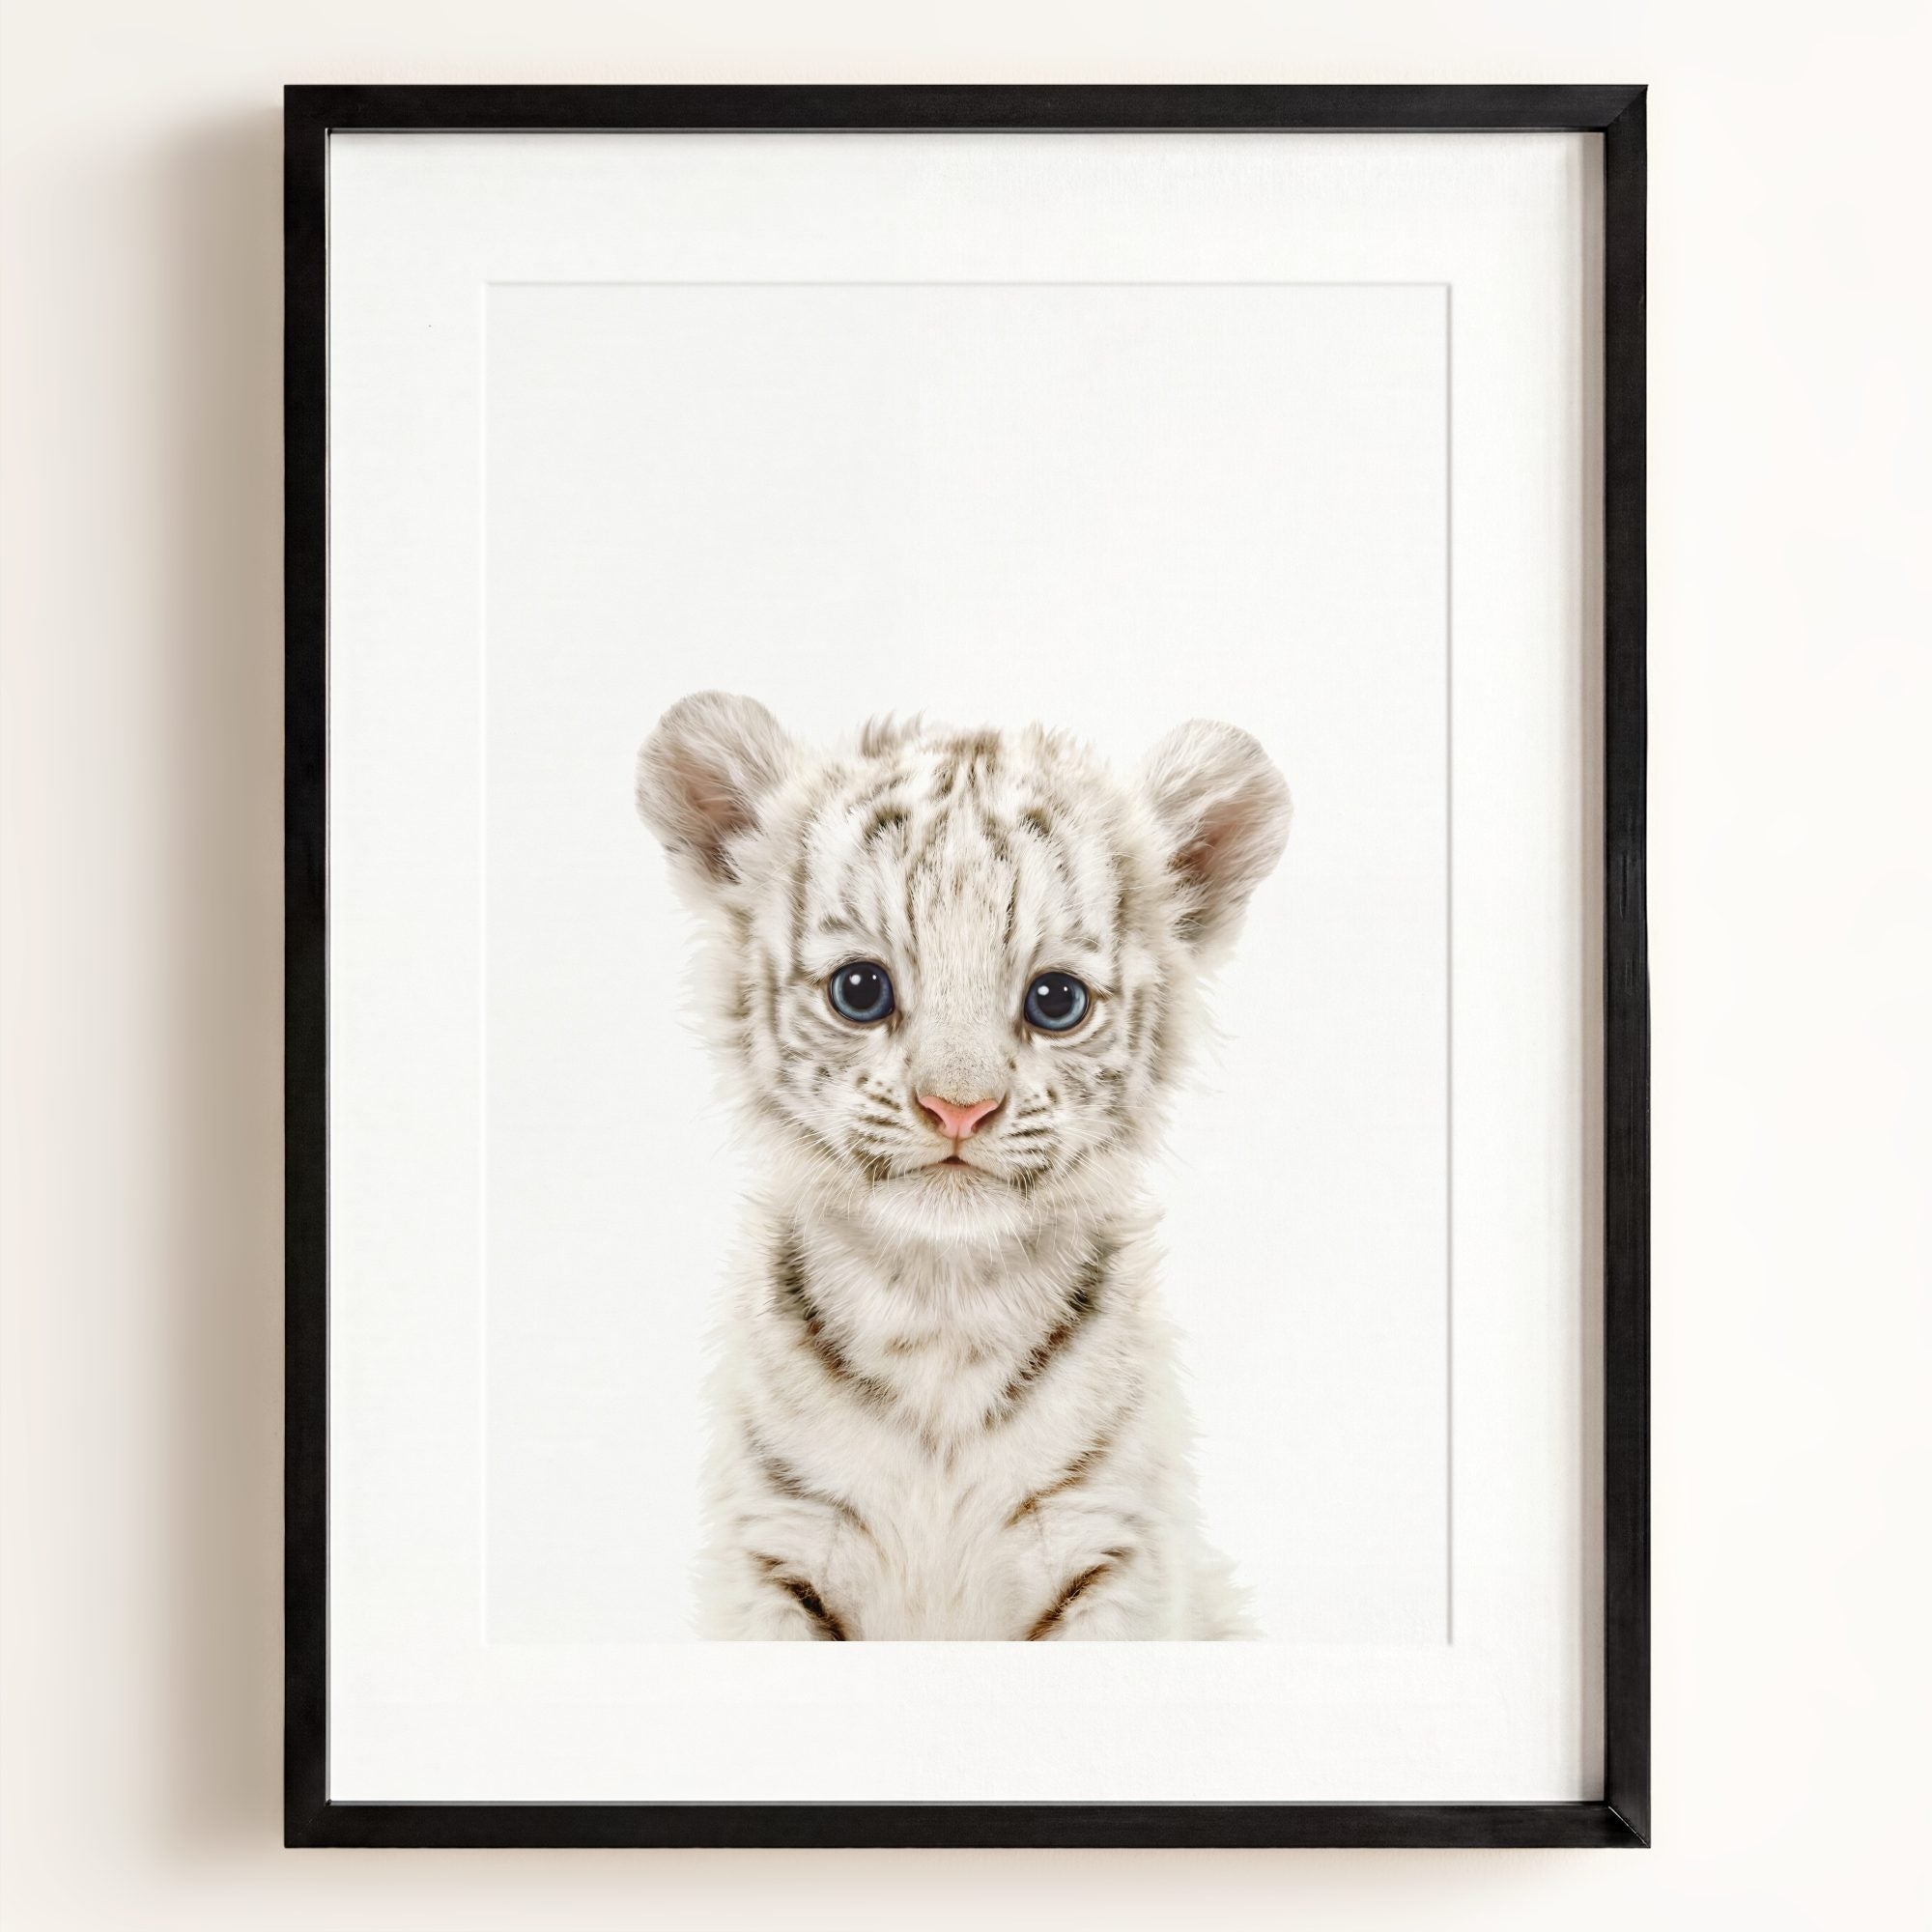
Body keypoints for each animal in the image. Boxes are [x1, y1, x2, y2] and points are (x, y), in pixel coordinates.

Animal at [635, 693, 1290, 1639]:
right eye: (860, 990)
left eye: (1056, 1001)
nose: (958, 1108)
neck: (941, 1305)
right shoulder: (778, 1548)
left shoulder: (1109, 1549)